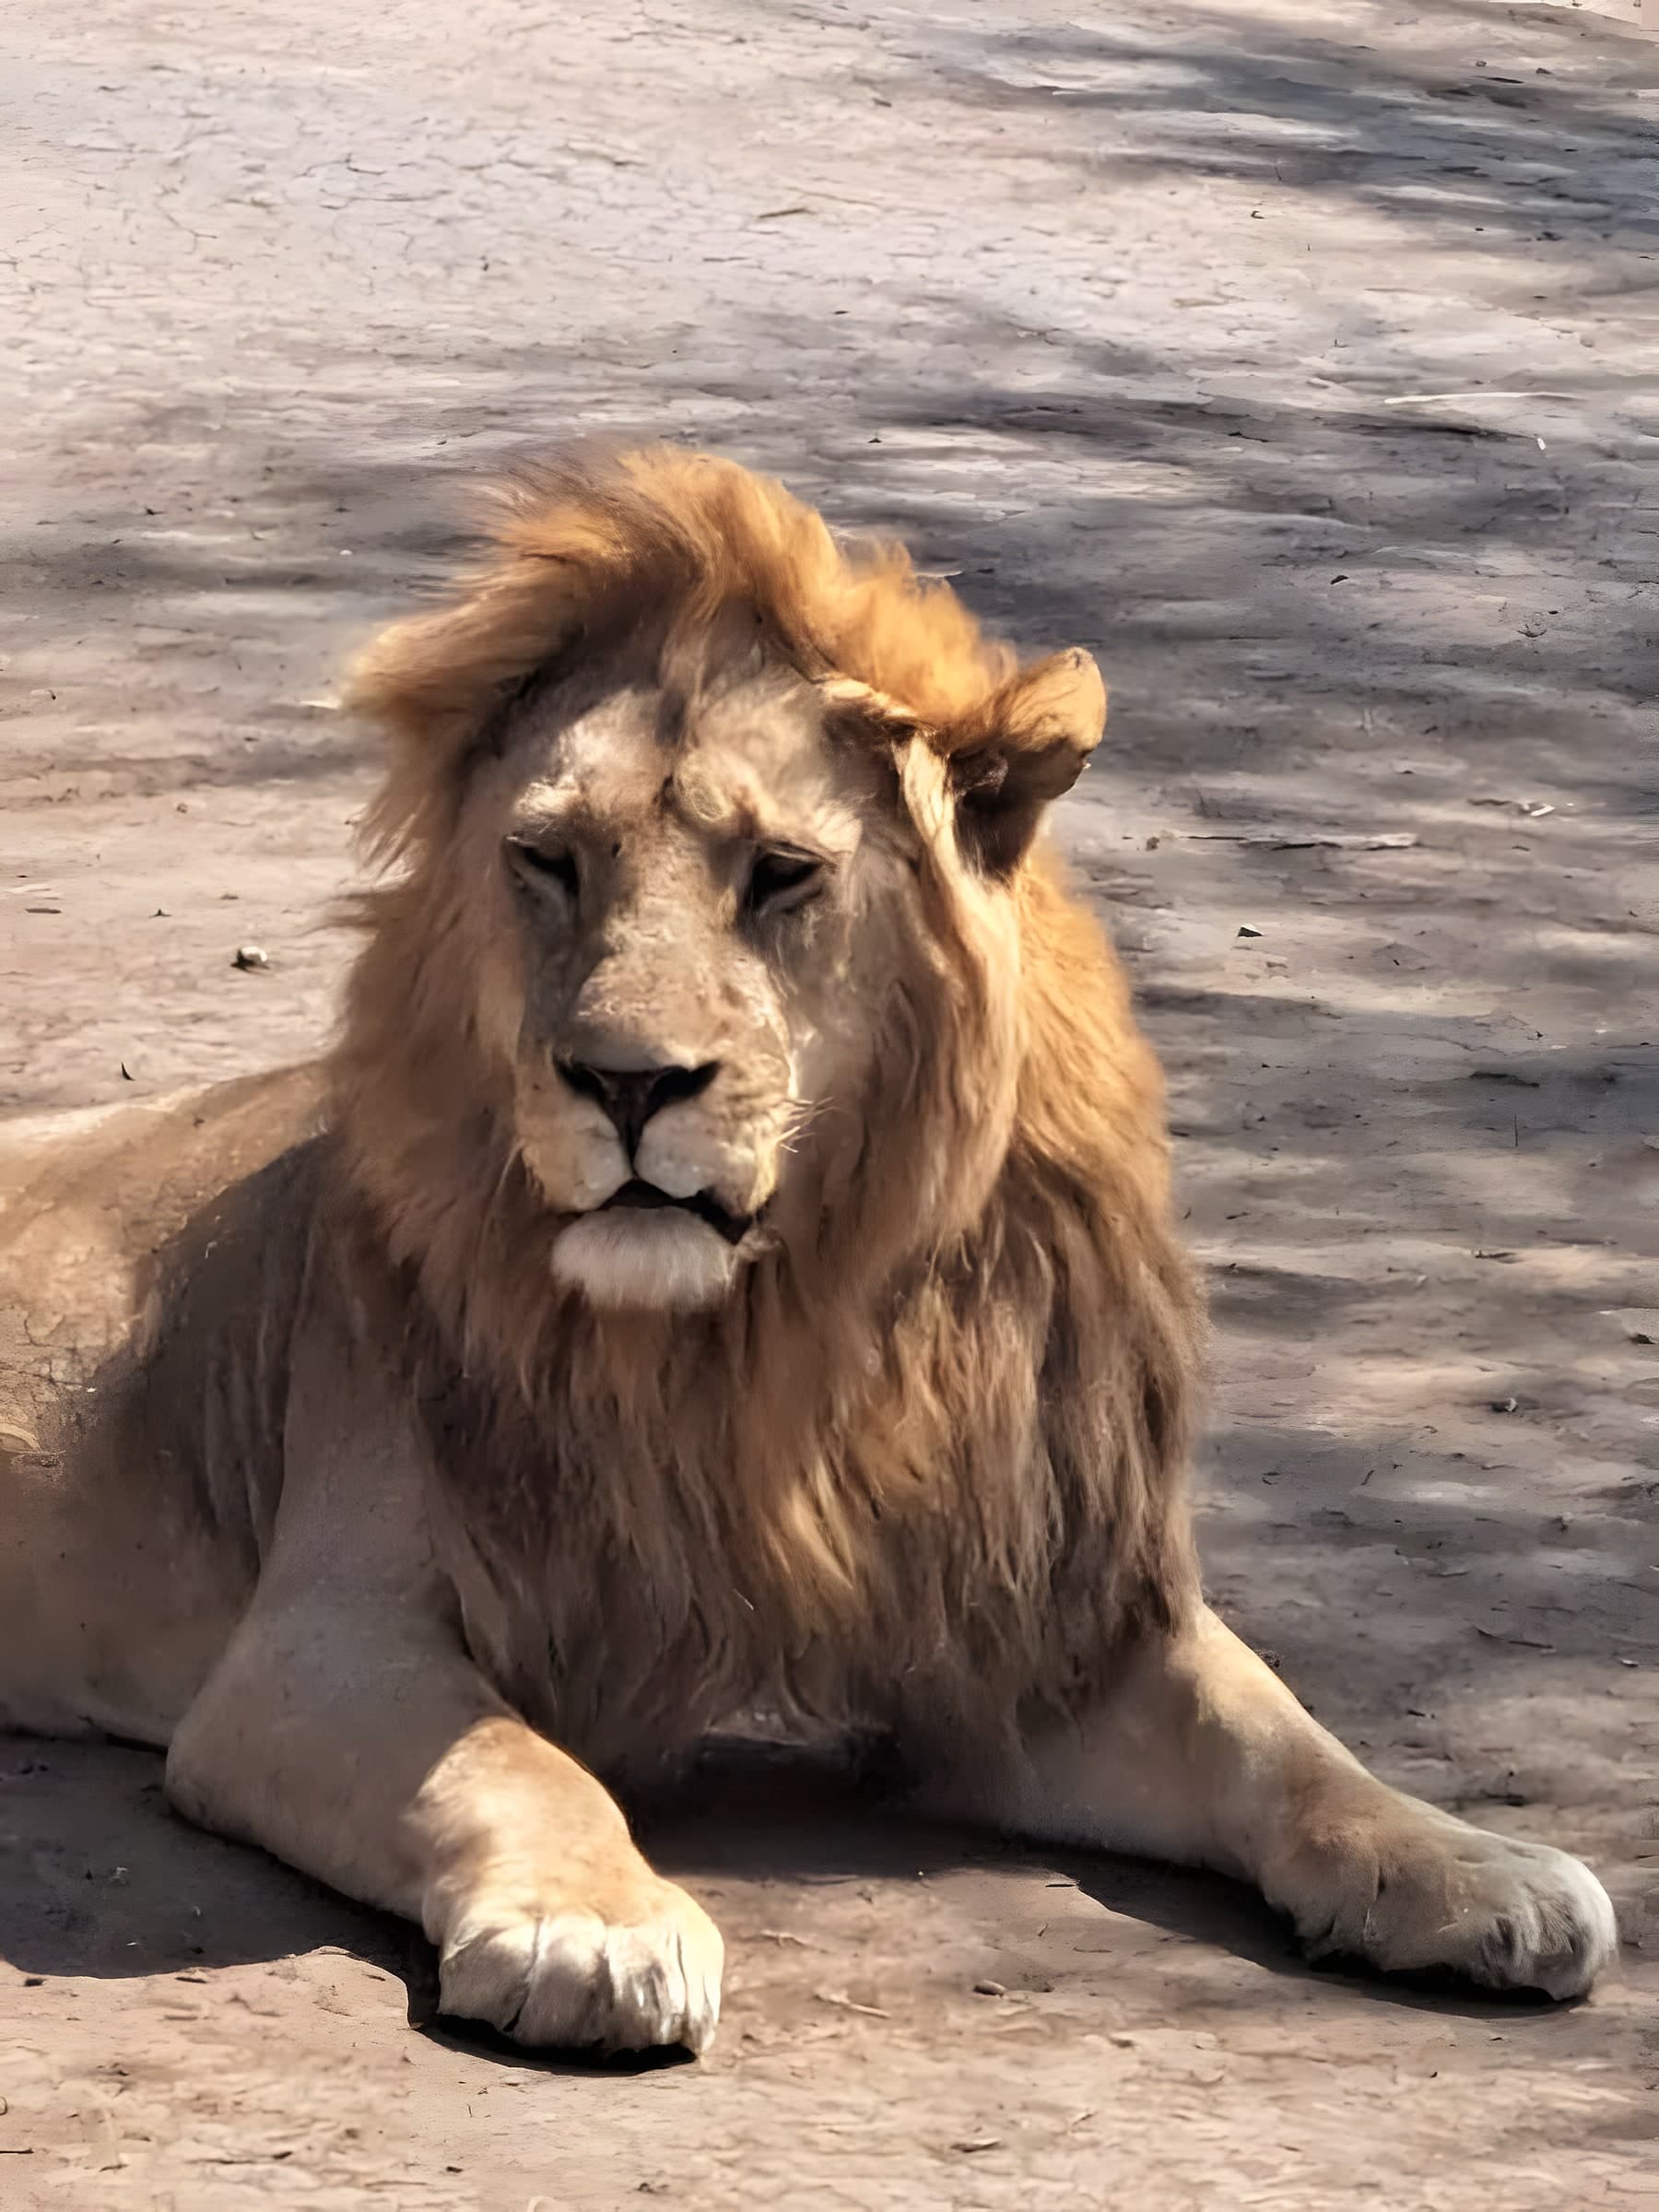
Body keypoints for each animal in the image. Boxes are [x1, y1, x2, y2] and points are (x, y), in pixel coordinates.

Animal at [0, 448, 1616, 2052]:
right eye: (550, 862)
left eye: (779, 873)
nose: (628, 1084)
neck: (772, 1341)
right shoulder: (315, 1644)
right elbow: (516, 1761)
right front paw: (596, 1924)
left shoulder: (1042, 1646)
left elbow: (1286, 1744)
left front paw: (1479, 1870)